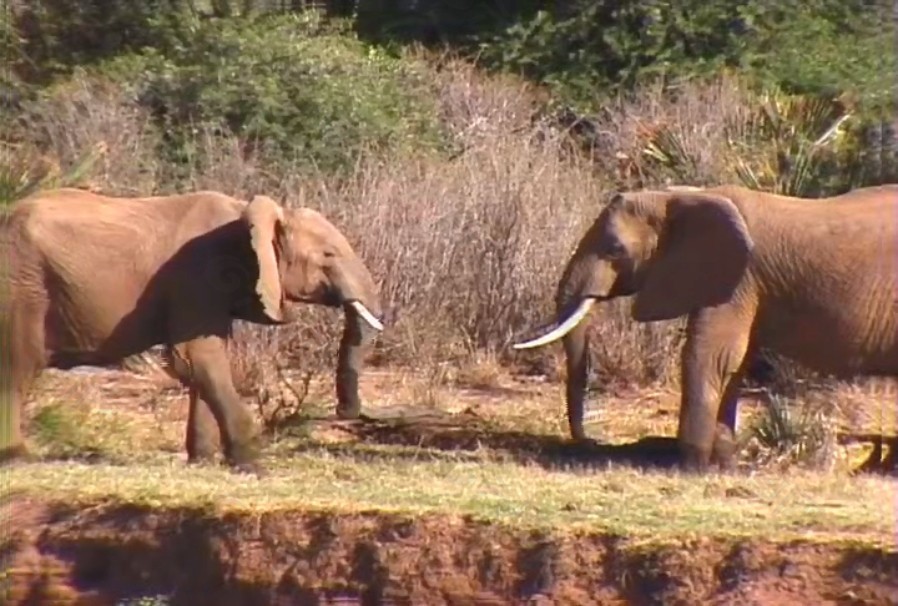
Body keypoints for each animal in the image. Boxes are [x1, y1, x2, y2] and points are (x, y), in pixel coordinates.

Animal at [1, 188, 384, 474]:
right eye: (328, 255)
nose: (345, 412)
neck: (245, 214)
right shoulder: (196, 275)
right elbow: (196, 359)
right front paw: (253, 467)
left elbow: (203, 362)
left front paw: (204, 462)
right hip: (21, 286)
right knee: (18, 365)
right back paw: (16, 457)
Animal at [513, 184, 898, 473]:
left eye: (614, 250)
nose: (591, 441)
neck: (681, 196)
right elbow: (732, 363)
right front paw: (723, 465)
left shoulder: (738, 279)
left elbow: (709, 356)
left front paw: (691, 466)